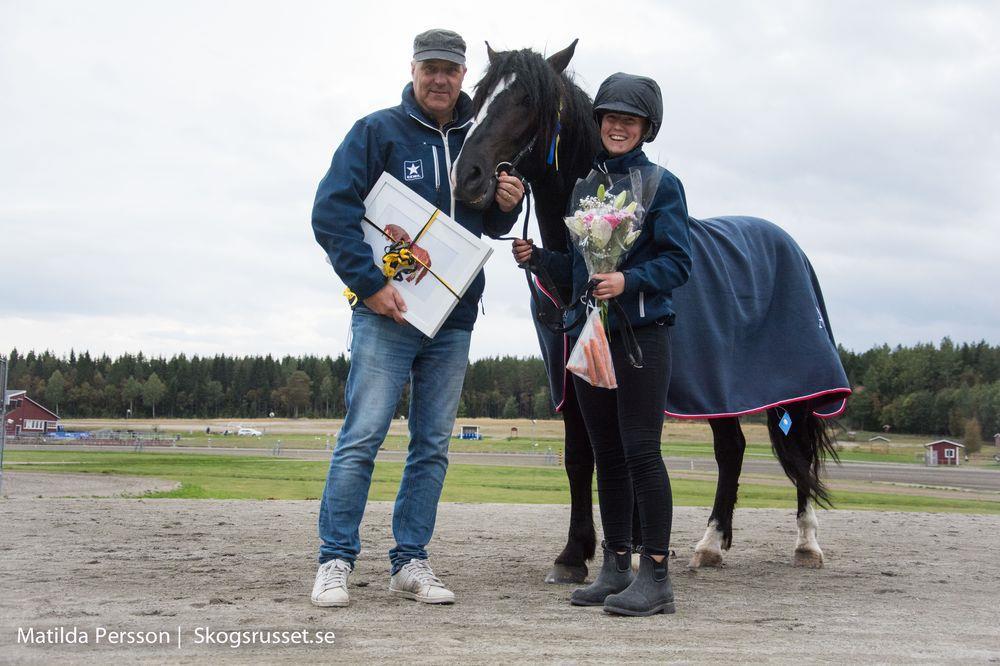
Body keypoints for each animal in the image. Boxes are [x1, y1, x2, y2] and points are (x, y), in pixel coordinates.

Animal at [454, 42, 852, 580]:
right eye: (478, 96)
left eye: (527, 101)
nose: (467, 176)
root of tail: (788, 244)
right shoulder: (571, 375)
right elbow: (580, 458)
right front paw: (576, 554)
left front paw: (625, 547)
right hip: (720, 392)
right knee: (732, 450)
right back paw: (711, 544)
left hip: (794, 387)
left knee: (800, 452)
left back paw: (807, 542)